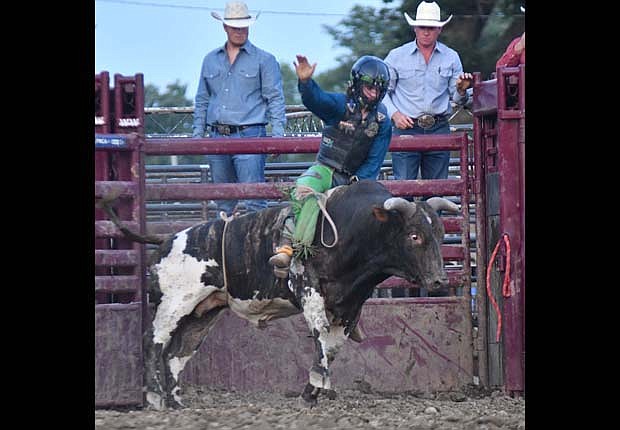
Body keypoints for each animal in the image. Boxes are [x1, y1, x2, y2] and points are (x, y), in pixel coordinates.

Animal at [143, 180, 458, 408]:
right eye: (414, 235)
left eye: (441, 234)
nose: (440, 280)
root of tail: (166, 241)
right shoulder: (307, 287)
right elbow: (320, 334)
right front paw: (318, 384)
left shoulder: (351, 305)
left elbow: (332, 347)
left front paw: (310, 393)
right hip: (173, 304)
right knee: (154, 342)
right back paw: (155, 397)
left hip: (203, 313)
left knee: (177, 353)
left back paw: (176, 403)